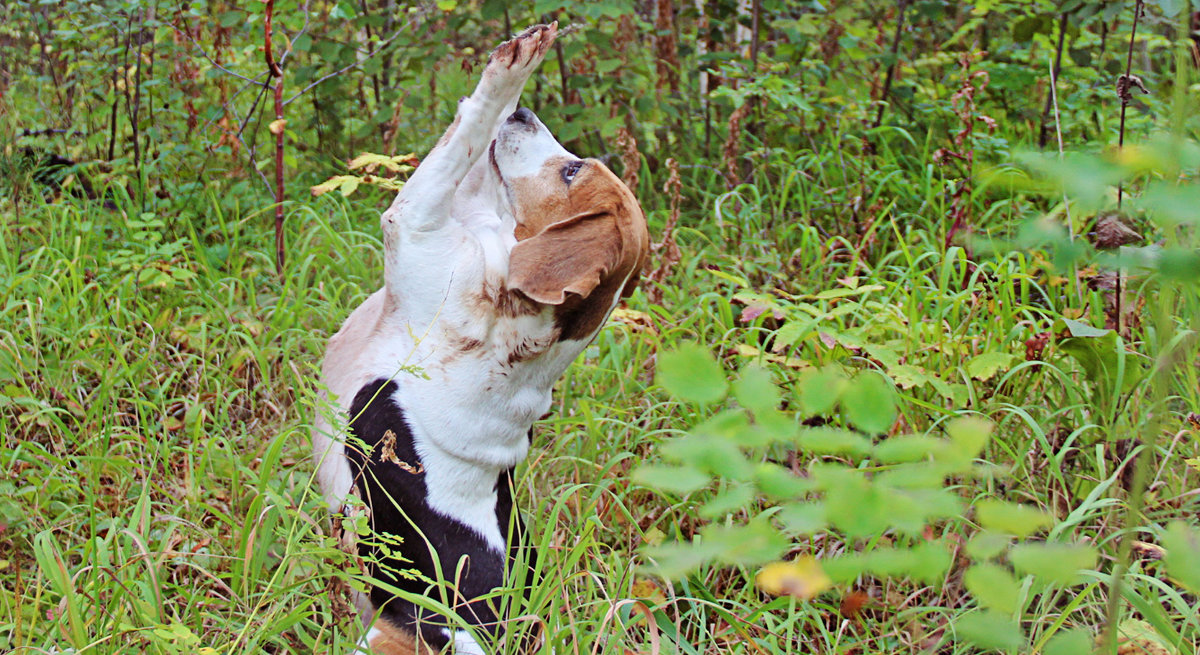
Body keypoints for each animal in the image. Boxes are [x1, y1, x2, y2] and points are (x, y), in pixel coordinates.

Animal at [309, 22, 648, 647]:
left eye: (572, 172)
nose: (528, 114)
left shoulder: (417, 220)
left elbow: (470, 126)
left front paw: (512, 70)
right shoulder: (467, 209)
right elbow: (474, 145)